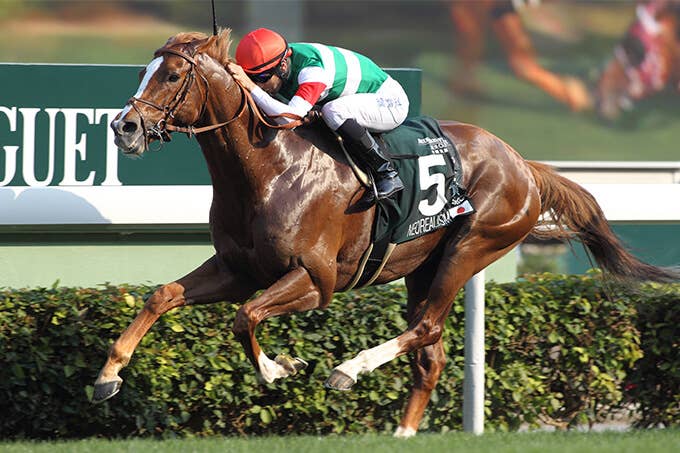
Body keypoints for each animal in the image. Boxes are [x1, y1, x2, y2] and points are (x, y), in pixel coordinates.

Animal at [93, 29, 678, 437]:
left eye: (172, 76)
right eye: (145, 71)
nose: (124, 126)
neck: (268, 168)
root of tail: (523, 164)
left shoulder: (315, 281)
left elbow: (246, 316)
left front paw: (279, 370)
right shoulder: (238, 269)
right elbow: (163, 296)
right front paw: (108, 376)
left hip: (472, 245)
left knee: (426, 329)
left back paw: (350, 369)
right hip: (422, 265)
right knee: (431, 352)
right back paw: (402, 431)